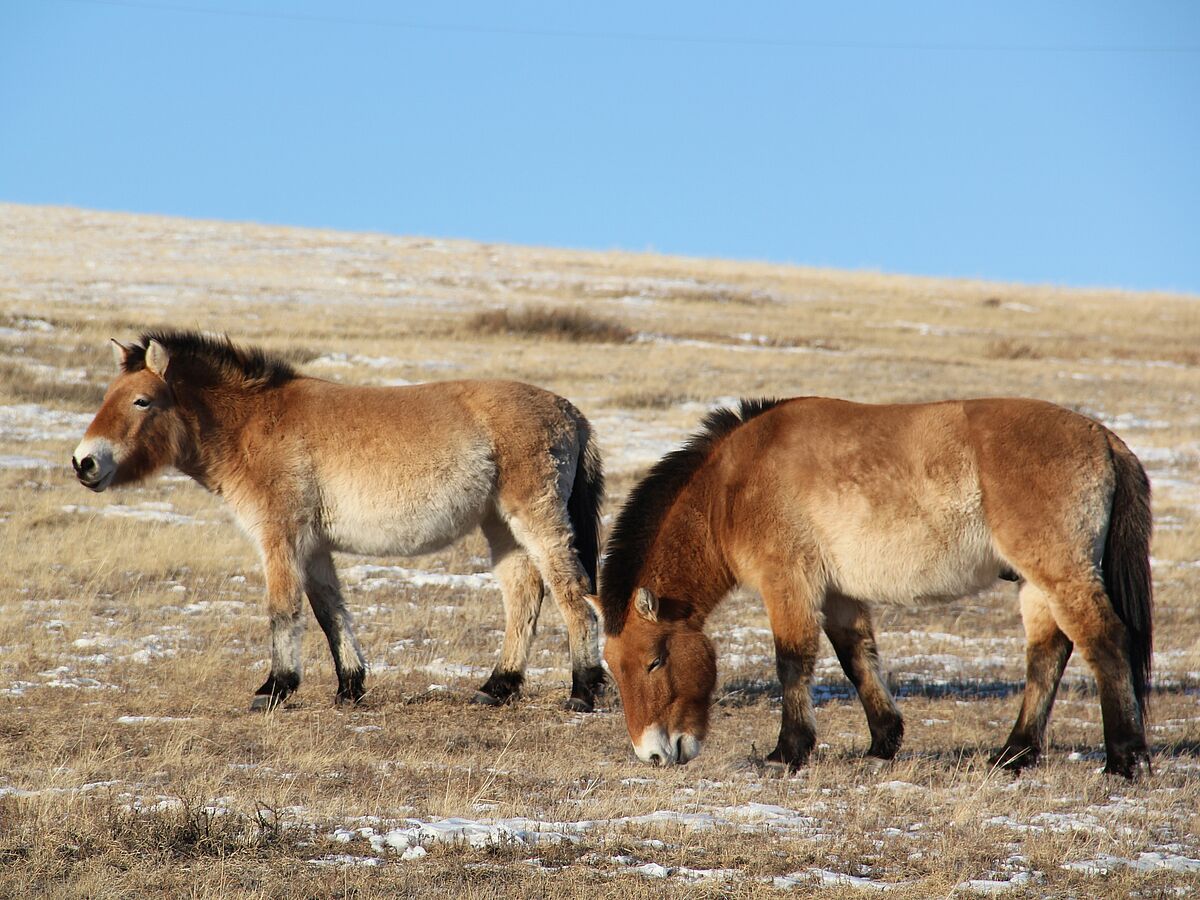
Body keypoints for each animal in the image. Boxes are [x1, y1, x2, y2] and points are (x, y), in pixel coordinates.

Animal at [70, 328, 604, 710]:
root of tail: (570, 412)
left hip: (535, 518)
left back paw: (581, 692)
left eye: (141, 400)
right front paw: (349, 687)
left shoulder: (280, 537)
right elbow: (330, 611)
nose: (84, 463)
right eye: (108, 395)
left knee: (571, 592)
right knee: (523, 596)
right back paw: (497, 687)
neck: (252, 425)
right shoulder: (313, 546)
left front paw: (274, 689)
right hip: (500, 525)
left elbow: (283, 609)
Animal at [597, 398, 1152, 777]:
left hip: (1061, 573)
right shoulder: (839, 593)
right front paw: (884, 742)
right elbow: (857, 658)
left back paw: (1124, 758)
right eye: (614, 671)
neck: (734, 487)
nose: (653, 754)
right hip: (1036, 584)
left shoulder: (788, 583)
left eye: (654, 662)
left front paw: (786, 752)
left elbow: (792, 661)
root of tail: (1103, 437)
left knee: (1104, 642)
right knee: (1047, 655)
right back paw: (1014, 754)